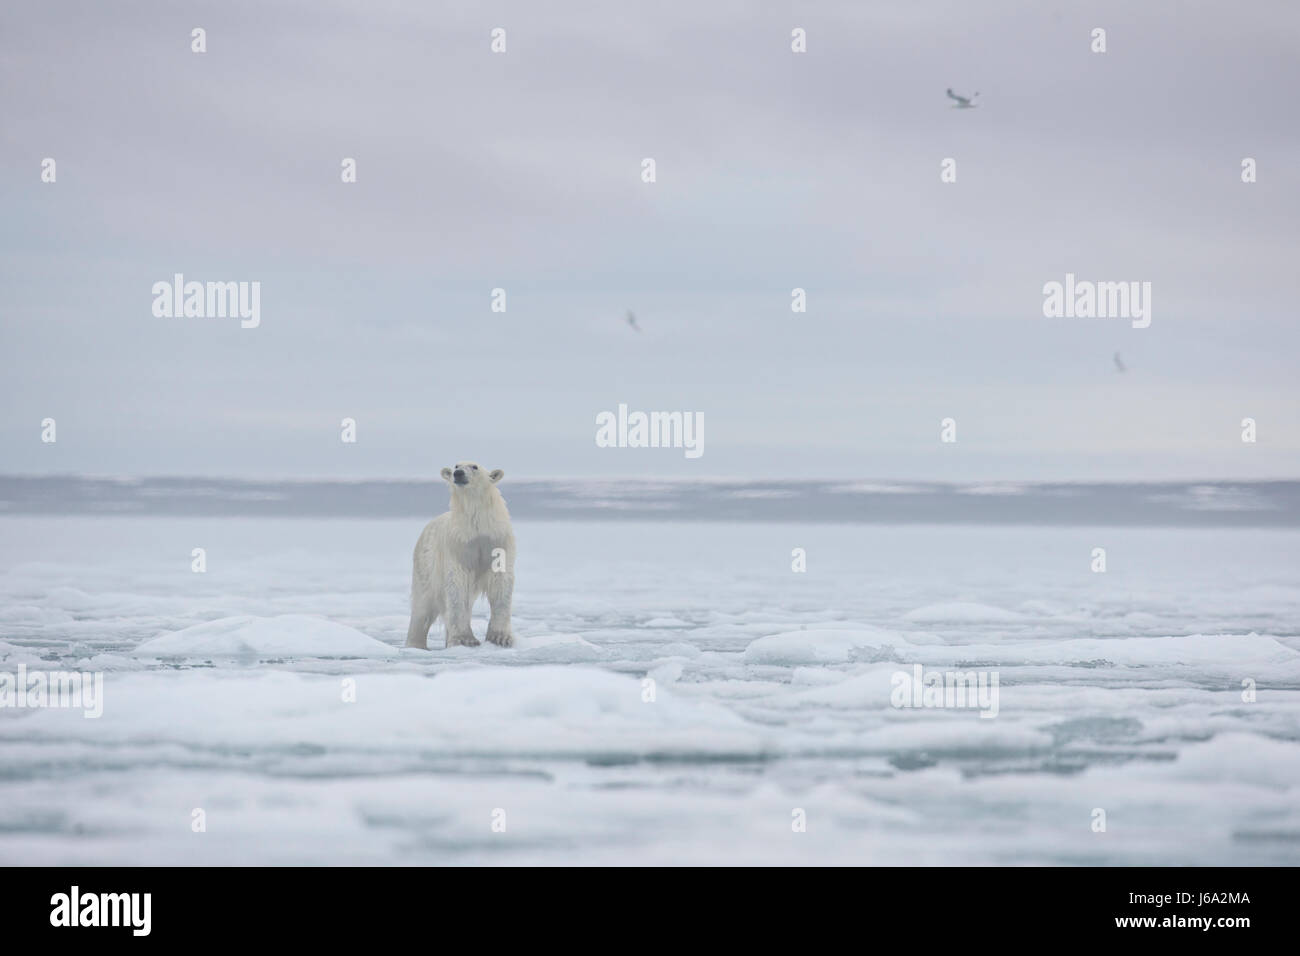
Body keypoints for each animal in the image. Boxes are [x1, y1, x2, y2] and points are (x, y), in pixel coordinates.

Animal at [403, 463, 514, 650]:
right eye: (456, 465)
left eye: (474, 466)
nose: (458, 473)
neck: (477, 527)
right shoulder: (457, 545)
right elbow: (457, 588)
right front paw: (465, 639)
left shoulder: (497, 541)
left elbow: (500, 584)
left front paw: (500, 638)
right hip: (426, 564)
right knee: (423, 606)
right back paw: (416, 645)